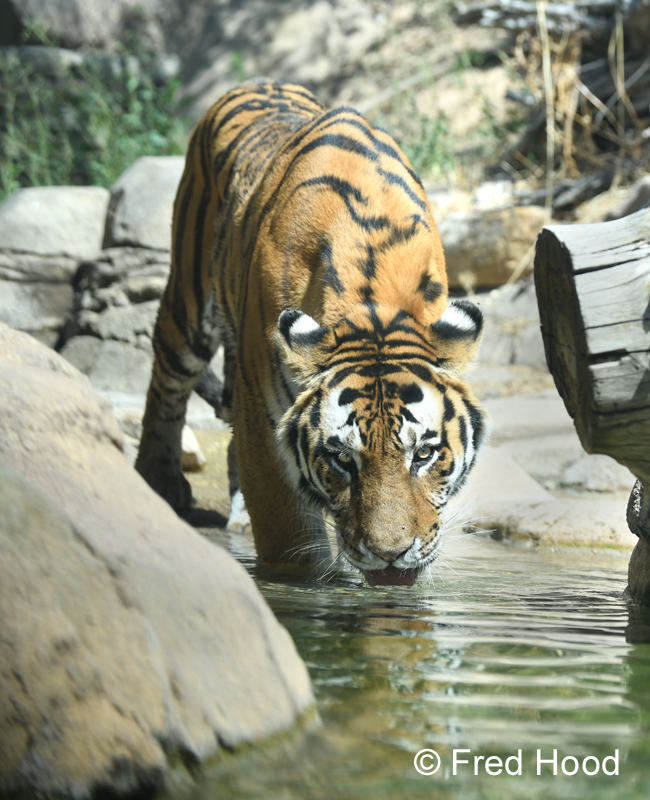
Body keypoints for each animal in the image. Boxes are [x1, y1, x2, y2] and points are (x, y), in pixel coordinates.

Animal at [135, 79, 487, 586]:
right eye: (342, 459)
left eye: (423, 455)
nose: (391, 554)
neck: (373, 303)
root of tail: (256, 83)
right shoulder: (262, 414)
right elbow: (289, 540)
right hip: (188, 300)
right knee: (167, 384)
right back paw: (159, 479)